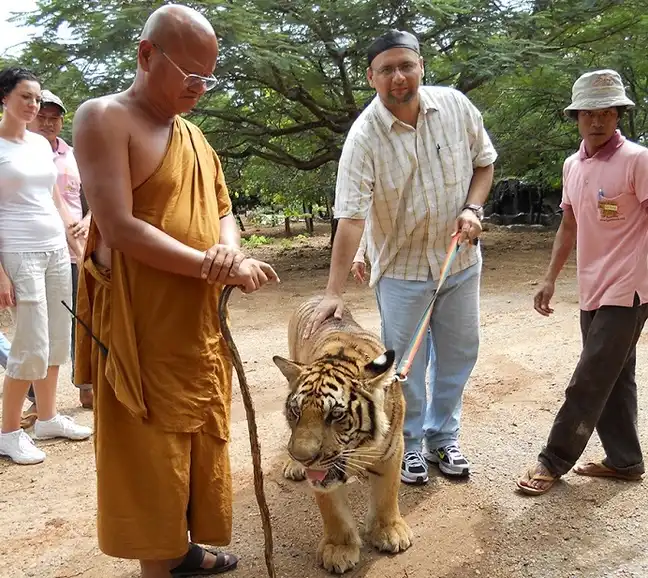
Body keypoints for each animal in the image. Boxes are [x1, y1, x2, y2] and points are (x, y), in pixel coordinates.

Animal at [270, 294, 412, 572]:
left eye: (335, 415)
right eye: (296, 411)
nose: (302, 458)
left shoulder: (393, 449)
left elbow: (387, 494)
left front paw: (390, 532)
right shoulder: (322, 472)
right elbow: (333, 511)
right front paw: (338, 549)